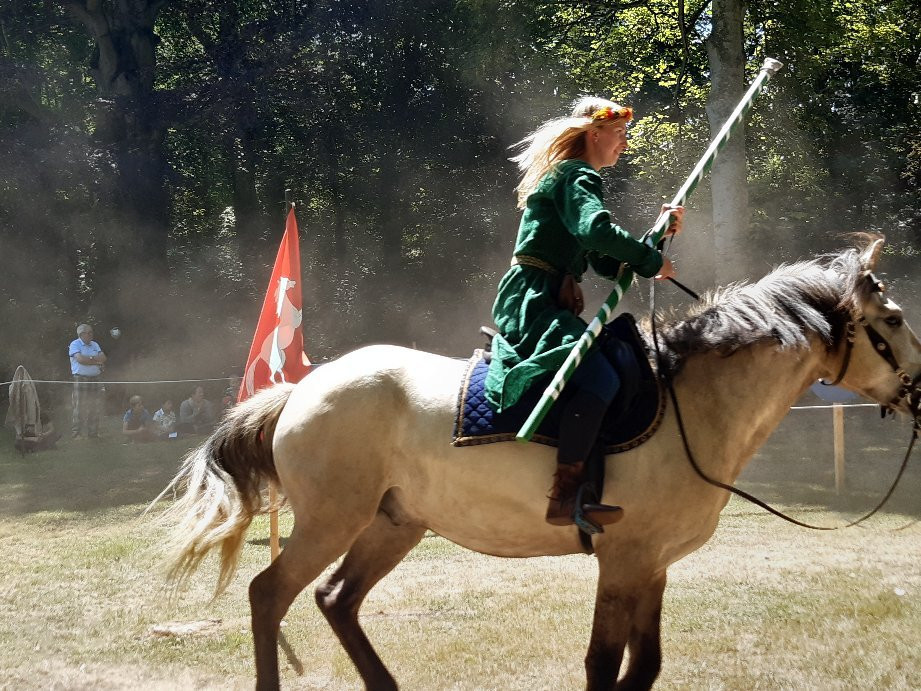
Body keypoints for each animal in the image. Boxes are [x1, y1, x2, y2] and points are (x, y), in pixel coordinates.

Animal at [156, 235, 920, 688]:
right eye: (891, 320)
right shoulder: (622, 560)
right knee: (270, 594)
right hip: (330, 521)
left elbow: (644, 664)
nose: (920, 387)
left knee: (335, 599)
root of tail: (299, 389)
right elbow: (604, 664)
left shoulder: (652, 565)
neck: (689, 402)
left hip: (393, 523)